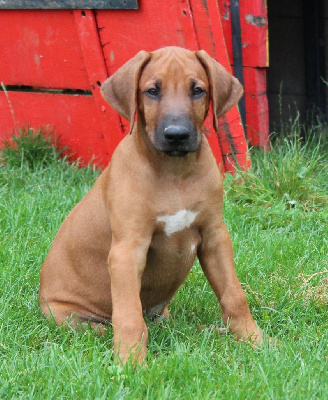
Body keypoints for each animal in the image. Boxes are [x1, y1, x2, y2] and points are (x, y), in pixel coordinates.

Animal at [39, 46, 262, 362]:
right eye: (152, 91)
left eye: (198, 90)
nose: (177, 135)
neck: (174, 172)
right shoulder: (127, 250)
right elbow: (129, 315)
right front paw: (130, 362)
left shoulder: (215, 236)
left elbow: (234, 295)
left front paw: (255, 340)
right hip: (64, 314)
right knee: (99, 327)